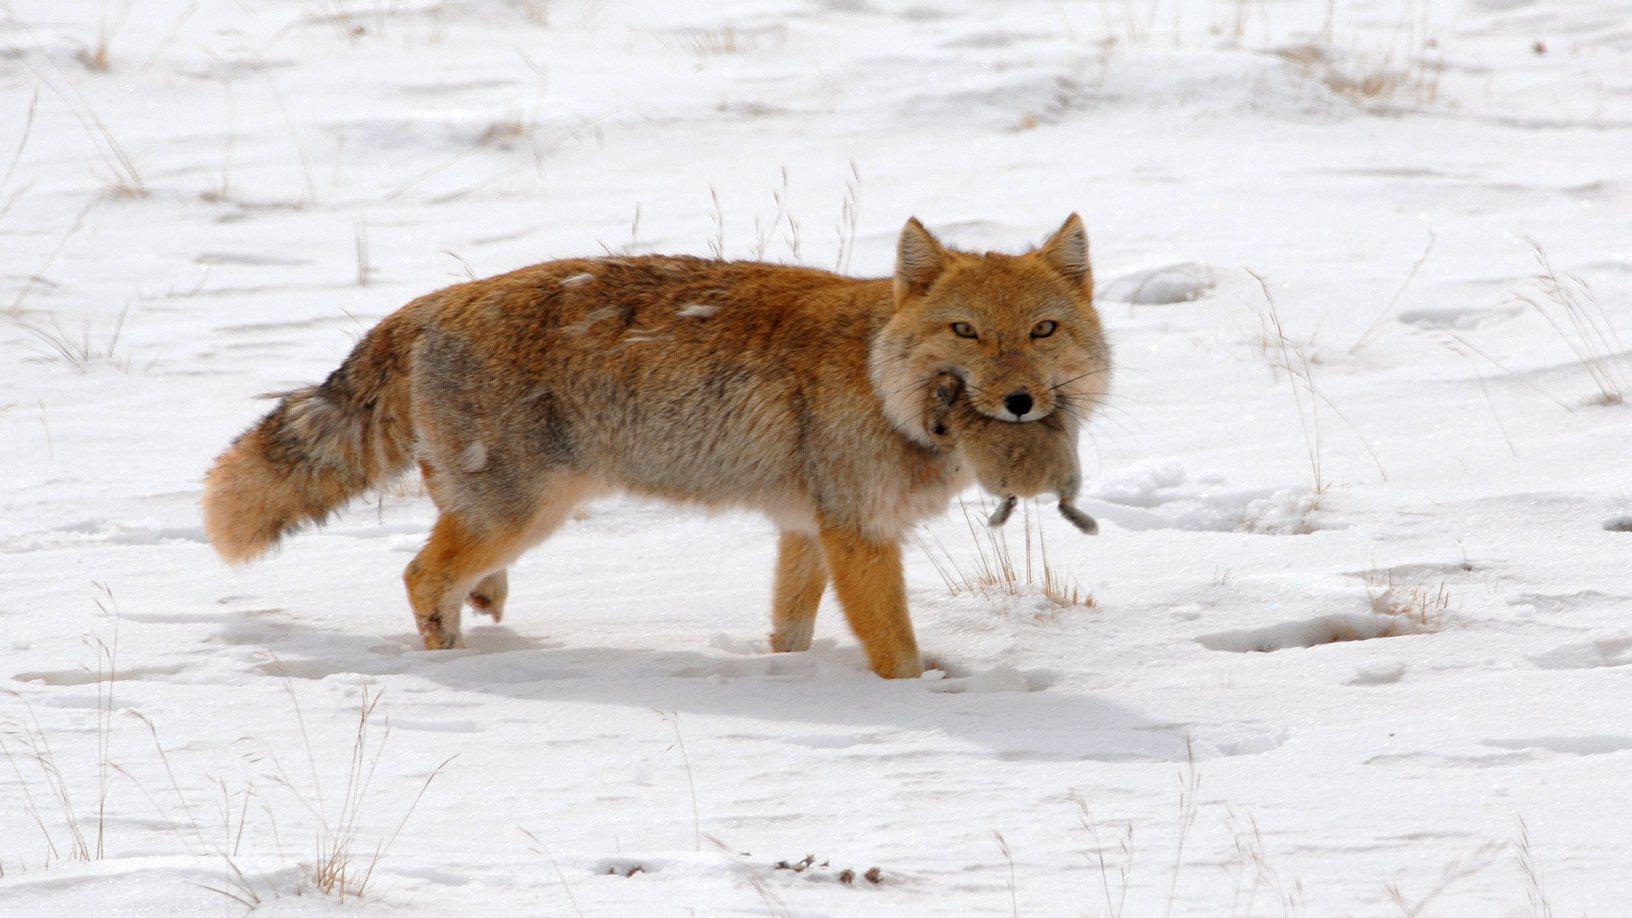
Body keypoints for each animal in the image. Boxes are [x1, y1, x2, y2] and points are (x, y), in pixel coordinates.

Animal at [202, 215, 1111, 679]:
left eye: (1041, 331)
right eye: (966, 332)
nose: (1020, 401)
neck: (880, 380)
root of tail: (428, 302)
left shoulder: (807, 531)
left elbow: (790, 632)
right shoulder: (859, 535)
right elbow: (896, 651)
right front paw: (914, 700)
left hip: (510, 511)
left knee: (450, 562)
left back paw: (485, 608)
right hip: (526, 512)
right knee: (422, 575)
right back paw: (457, 667)